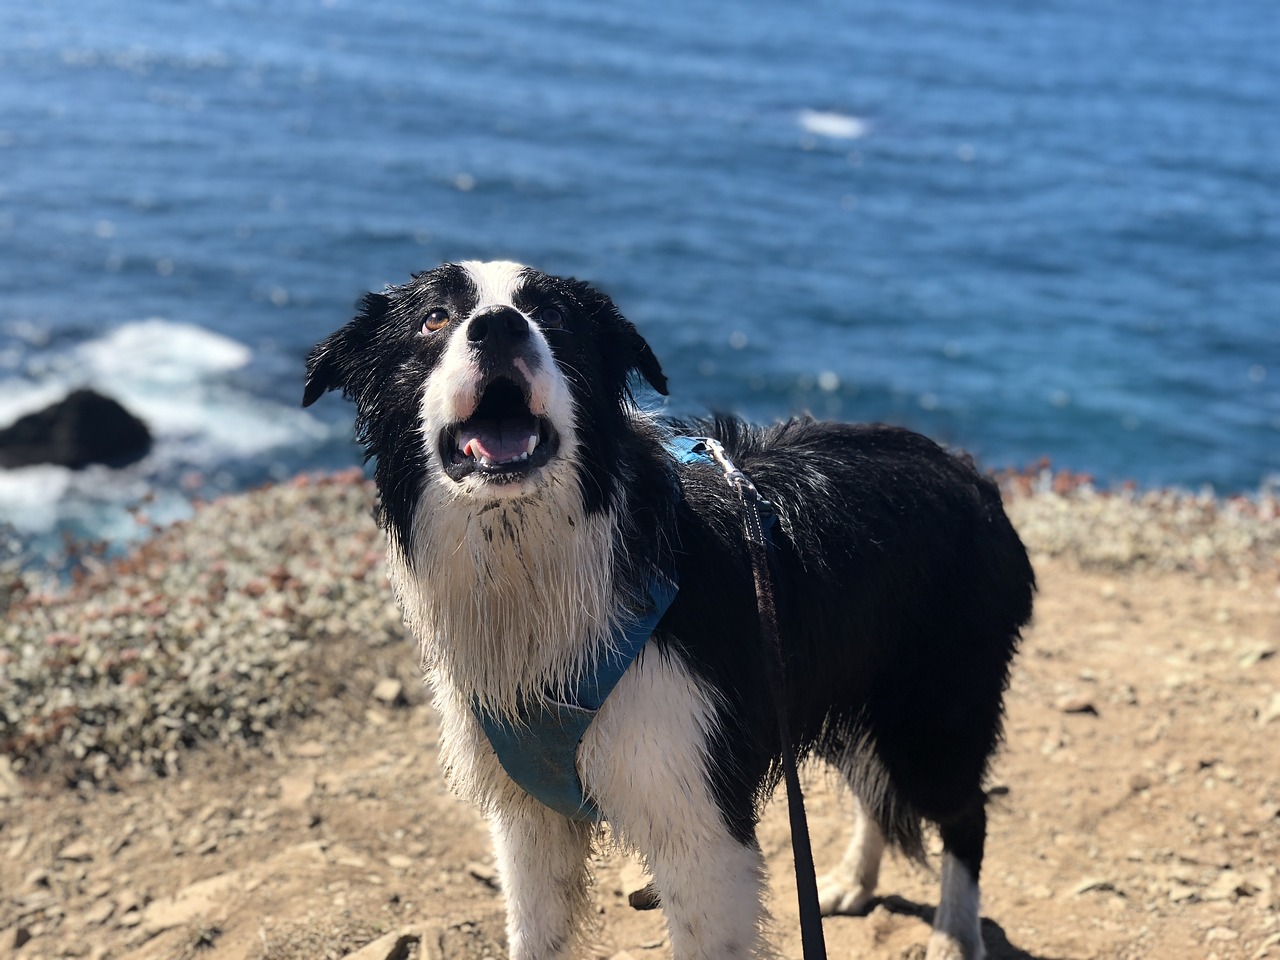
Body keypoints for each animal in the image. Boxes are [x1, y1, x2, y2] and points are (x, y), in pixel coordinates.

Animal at [304, 261, 1034, 960]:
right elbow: (535, 934)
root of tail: (972, 475)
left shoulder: (698, 816)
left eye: (553, 317)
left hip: (933, 708)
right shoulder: (528, 818)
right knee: (871, 787)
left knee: (964, 812)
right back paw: (852, 882)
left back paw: (952, 935)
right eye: (434, 319)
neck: (535, 562)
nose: (500, 326)